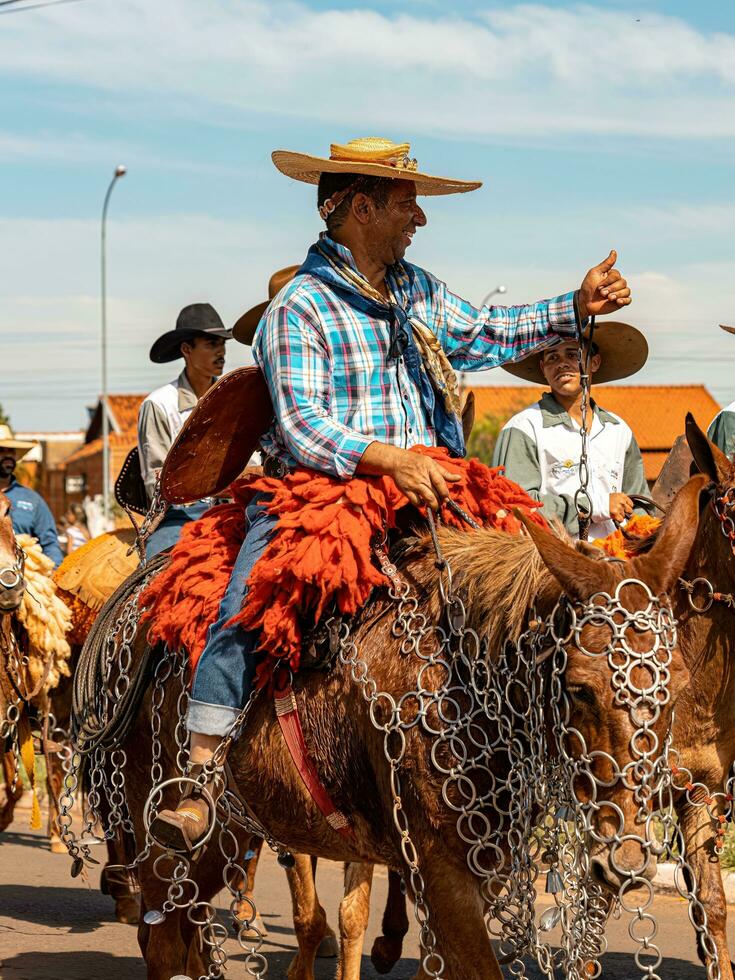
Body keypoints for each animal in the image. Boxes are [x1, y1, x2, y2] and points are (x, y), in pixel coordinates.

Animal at [87, 468, 708, 980]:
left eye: (674, 687)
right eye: (579, 686)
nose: (625, 860)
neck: (463, 676)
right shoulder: (440, 870)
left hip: (233, 832)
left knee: (184, 918)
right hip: (161, 832)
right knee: (163, 939)